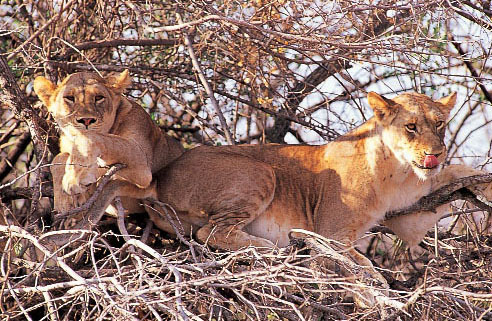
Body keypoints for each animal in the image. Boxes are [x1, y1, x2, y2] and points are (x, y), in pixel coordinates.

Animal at [33, 70, 183, 222]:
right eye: (69, 98)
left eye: (99, 97)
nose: (86, 120)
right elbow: (59, 158)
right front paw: (65, 201)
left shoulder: (142, 166)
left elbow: (92, 138)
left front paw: (75, 177)